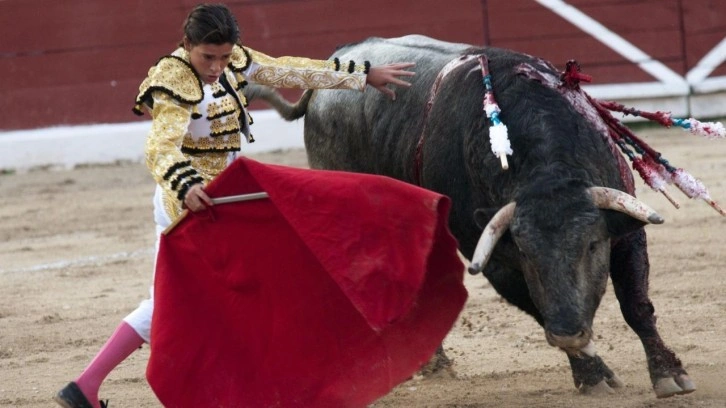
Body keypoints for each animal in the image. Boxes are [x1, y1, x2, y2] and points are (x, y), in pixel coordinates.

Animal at [247, 35, 696, 398]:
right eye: (527, 253)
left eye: (591, 245)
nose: (568, 330)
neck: (545, 169)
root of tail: (334, 65)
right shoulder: (493, 256)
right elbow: (536, 304)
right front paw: (592, 373)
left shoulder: (625, 229)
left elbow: (636, 304)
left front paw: (669, 375)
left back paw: (432, 362)